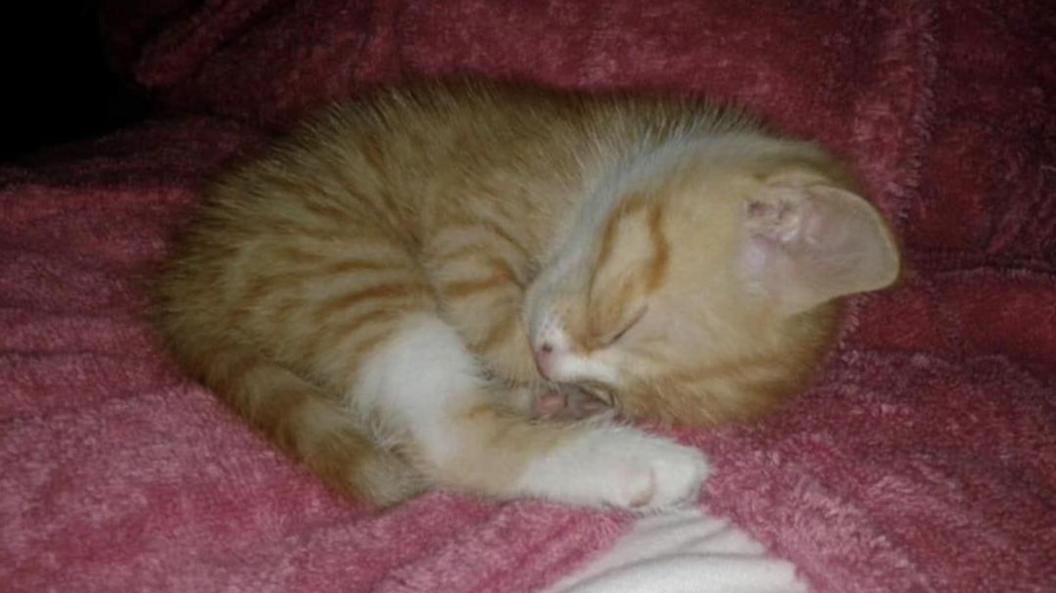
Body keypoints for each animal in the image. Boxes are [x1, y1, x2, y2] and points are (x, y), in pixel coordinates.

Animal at [154, 80, 899, 508]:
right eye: (623, 322)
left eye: (617, 393)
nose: (550, 365)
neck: (599, 171)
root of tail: (187, 277)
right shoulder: (470, 222)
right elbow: (483, 301)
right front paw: (522, 371)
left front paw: (551, 393)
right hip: (353, 269)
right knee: (452, 439)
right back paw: (642, 463)